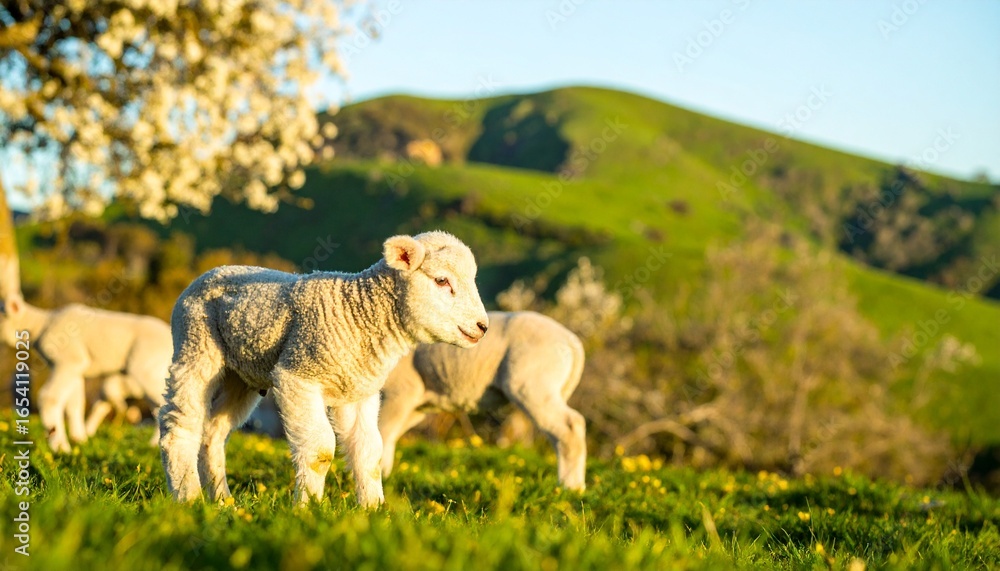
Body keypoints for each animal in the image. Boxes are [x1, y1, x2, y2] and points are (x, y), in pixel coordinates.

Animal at [0, 296, 171, 452]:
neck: (42, 324)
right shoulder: (75, 370)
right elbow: (76, 403)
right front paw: (79, 439)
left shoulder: (68, 362)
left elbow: (50, 397)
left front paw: (61, 447)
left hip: (145, 371)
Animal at [158, 231, 489, 507]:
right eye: (442, 281)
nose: (482, 327)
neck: (360, 313)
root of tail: (214, 271)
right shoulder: (298, 376)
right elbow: (320, 451)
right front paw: (307, 509)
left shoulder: (357, 391)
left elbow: (369, 453)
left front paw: (373, 510)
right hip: (196, 347)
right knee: (179, 425)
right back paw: (189, 497)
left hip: (239, 375)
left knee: (213, 431)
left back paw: (222, 500)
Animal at [380, 310, 588, 491]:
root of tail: (572, 342)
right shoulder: (412, 403)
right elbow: (388, 436)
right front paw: (385, 476)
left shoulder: (399, 391)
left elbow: (382, 434)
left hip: (532, 385)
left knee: (570, 427)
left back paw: (570, 487)